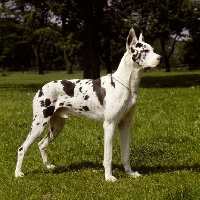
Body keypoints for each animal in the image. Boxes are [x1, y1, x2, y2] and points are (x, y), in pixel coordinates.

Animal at [15, 28, 162, 182]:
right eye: (145, 50)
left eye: (152, 49)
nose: (161, 58)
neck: (126, 84)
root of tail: (40, 89)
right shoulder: (109, 126)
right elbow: (108, 156)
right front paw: (109, 177)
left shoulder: (125, 126)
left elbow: (126, 154)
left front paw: (130, 173)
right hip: (39, 124)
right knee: (22, 148)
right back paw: (18, 173)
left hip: (57, 126)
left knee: (41, 144)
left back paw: (48, 165)